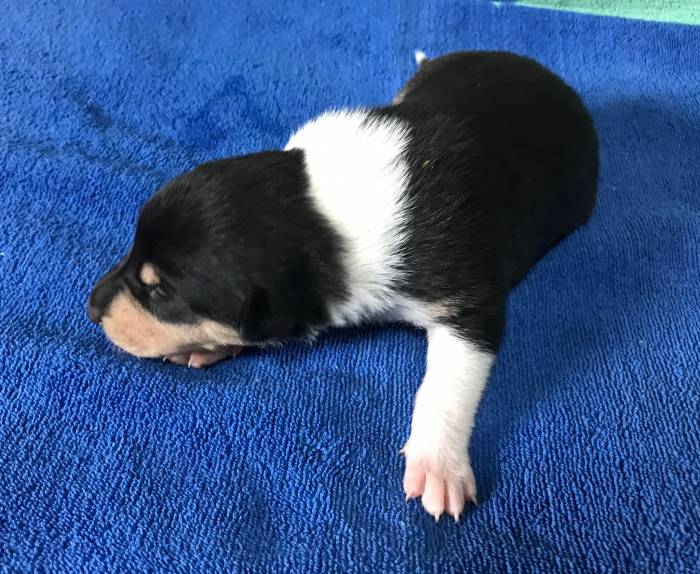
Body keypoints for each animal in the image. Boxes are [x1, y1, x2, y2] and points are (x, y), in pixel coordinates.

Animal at [88, 51, 598, 521]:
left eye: (161, 293)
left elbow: (447, 386)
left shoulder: (468, 301)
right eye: (134, 250)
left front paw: (439, 465)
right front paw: (208, 346)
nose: (91, 308)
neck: (322, 212)